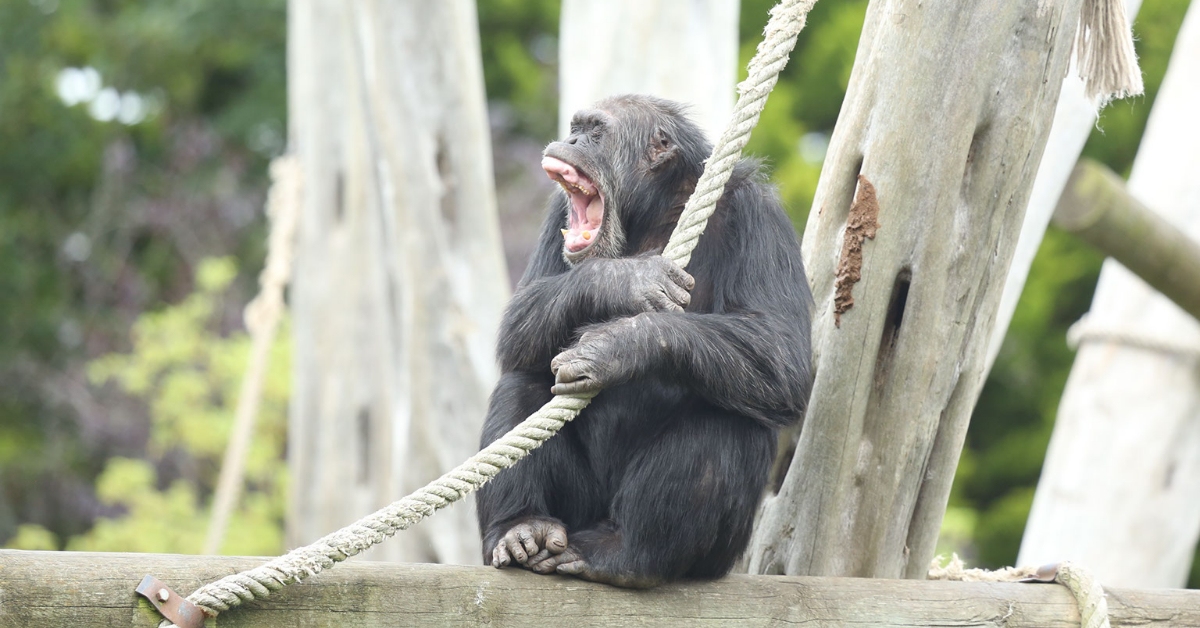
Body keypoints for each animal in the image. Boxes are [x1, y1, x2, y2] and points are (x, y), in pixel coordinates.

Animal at [477, 94, 816, 590]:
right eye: (576, 128)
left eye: (596, 132)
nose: (571, 141)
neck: (657, 211)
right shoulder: (558, 215)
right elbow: (519, 319)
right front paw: (627, 280)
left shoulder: (760, 216)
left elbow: (781, 350)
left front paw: (615, 346)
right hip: (579, 508)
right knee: (523, 381)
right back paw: (521, 526)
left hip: (712, 555)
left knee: (727, 412)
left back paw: (627, 555)